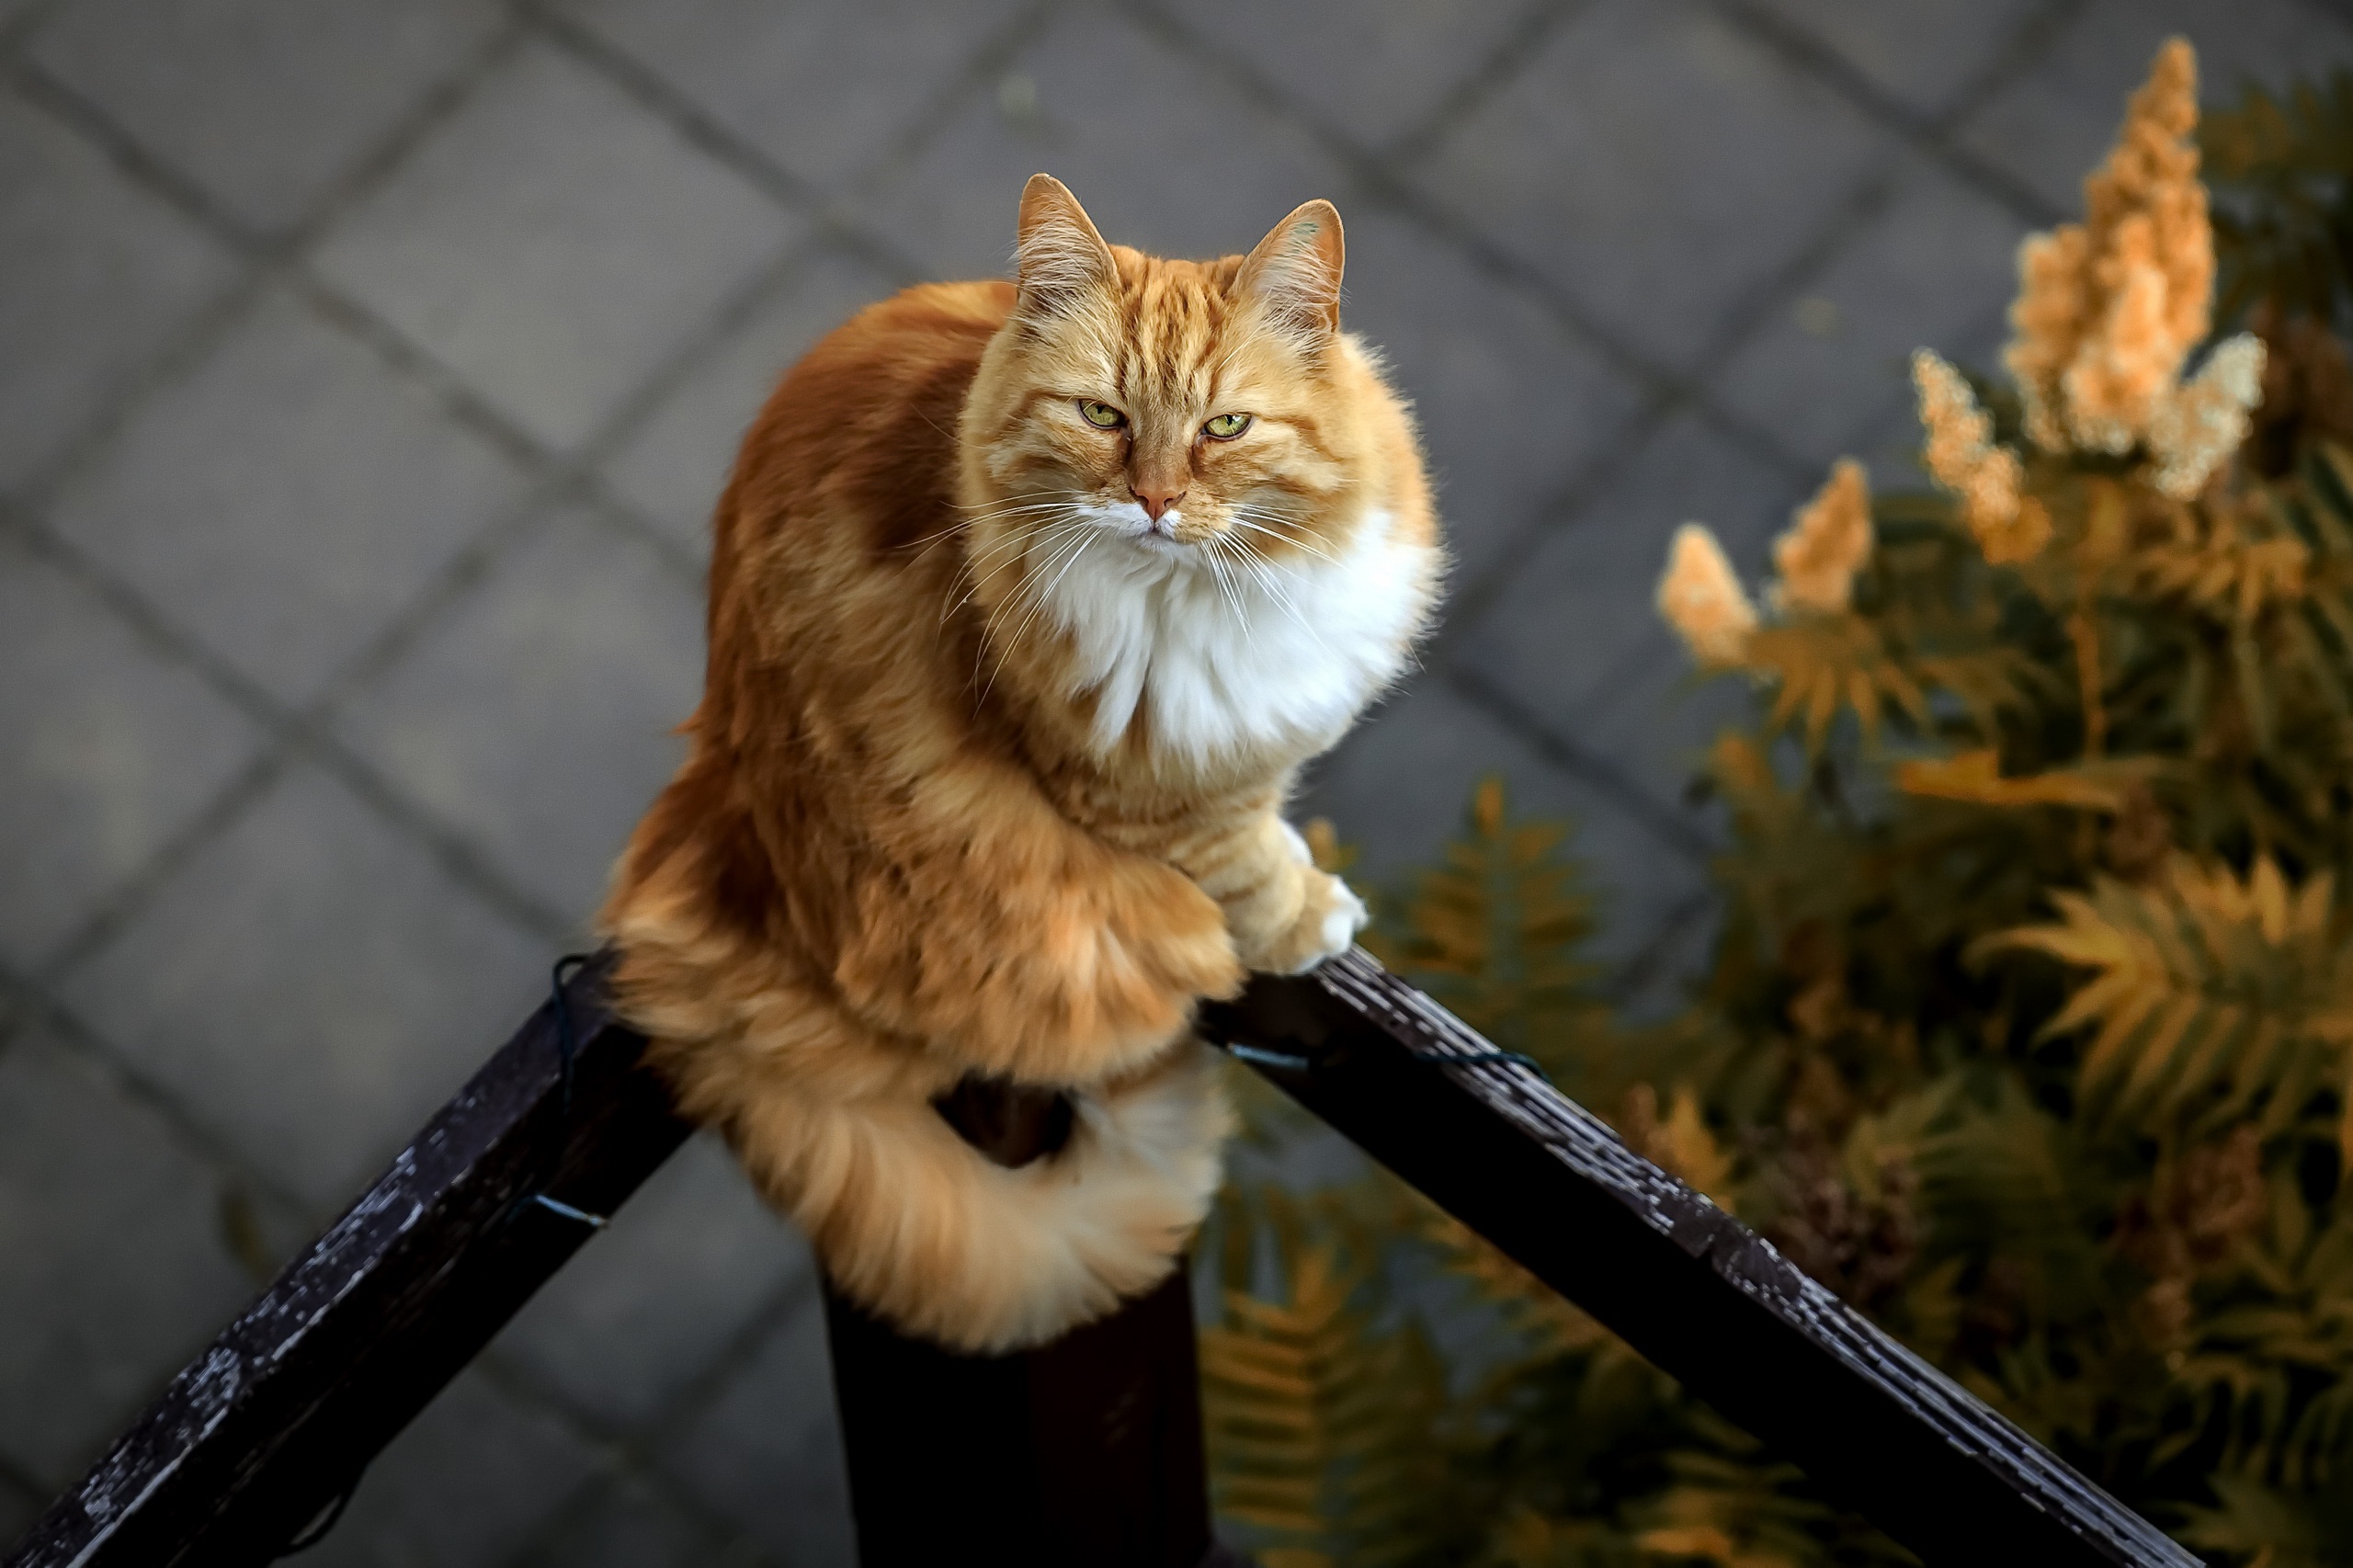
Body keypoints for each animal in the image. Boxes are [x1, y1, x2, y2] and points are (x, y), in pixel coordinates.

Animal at [597, 170, 1439, 1346]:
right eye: (1102, 416)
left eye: (1225, 427)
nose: (1155, 502)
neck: (1199, 596)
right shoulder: (1145, 788)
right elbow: (1244, 865)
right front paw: (1307, 916)